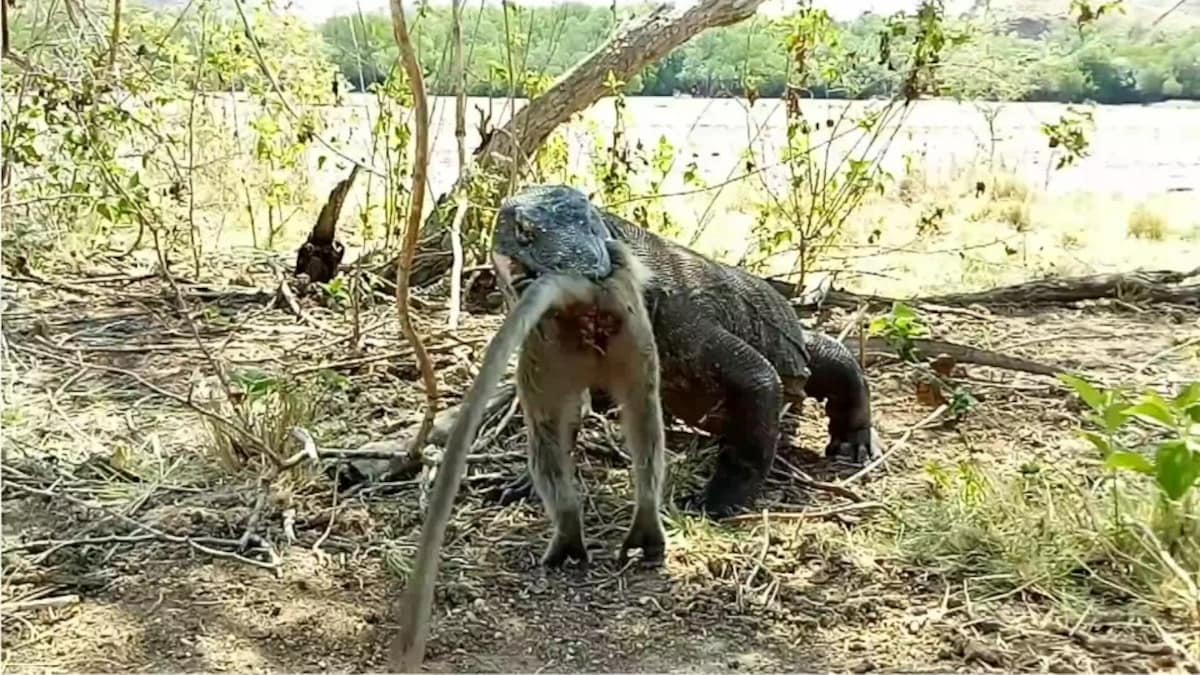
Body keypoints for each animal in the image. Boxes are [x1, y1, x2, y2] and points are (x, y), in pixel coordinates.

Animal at [389, 194, 668, 672]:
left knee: (545, 434)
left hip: (546, 353)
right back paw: (645, 518)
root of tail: (582, 292)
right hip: (629, 336)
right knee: (644, 418)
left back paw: (568, 531)